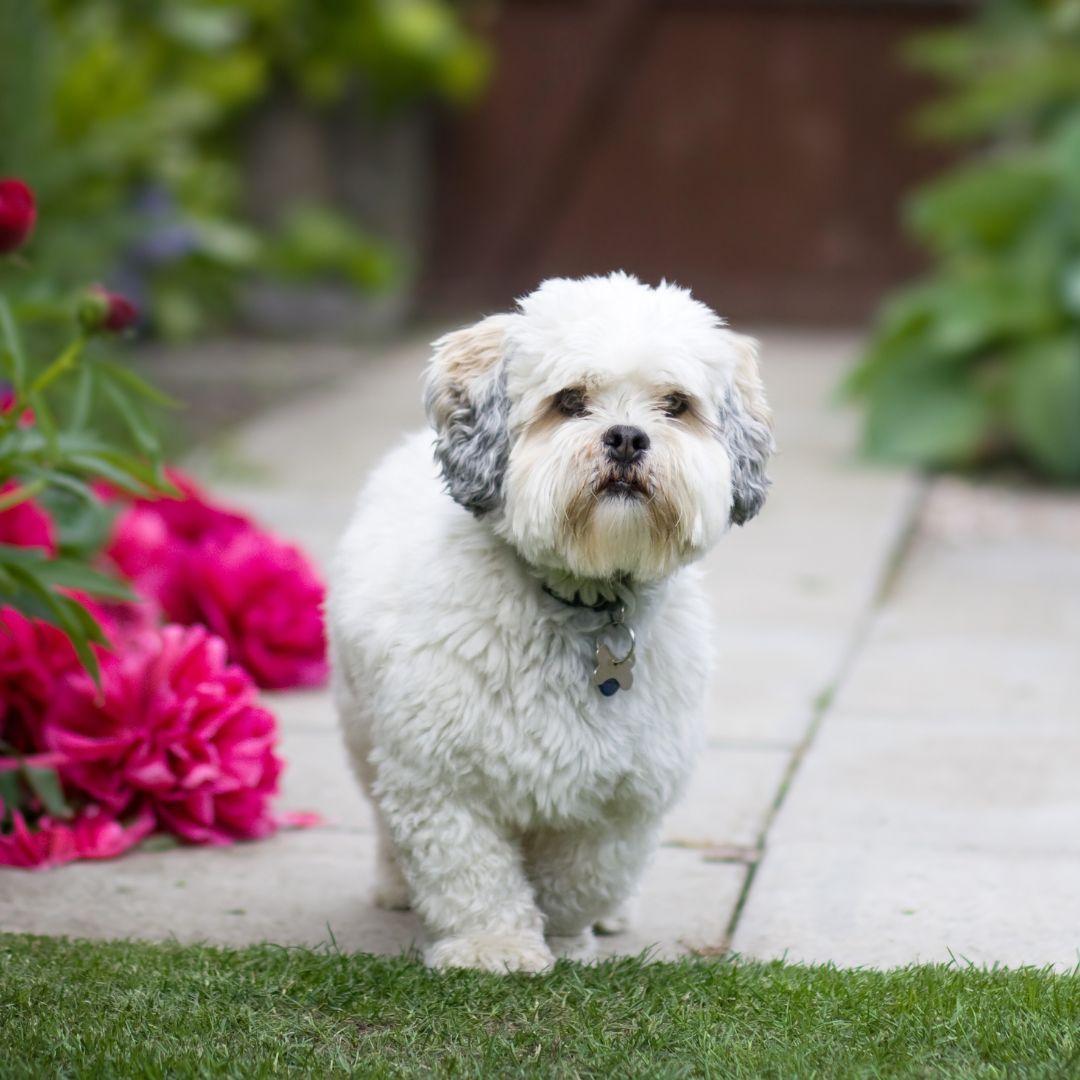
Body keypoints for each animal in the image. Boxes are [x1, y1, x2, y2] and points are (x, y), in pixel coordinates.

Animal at [324, 274, 773, 976]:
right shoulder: (439, 778)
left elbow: (579, 877)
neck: (583, 602)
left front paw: (564, 934)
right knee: (379, 814)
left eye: (675, 405)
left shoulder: (625, 797)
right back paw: (397, 886)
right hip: (359, 727)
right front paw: (494, 947)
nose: (627, 437)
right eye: (570, 401)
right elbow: (471, 873)